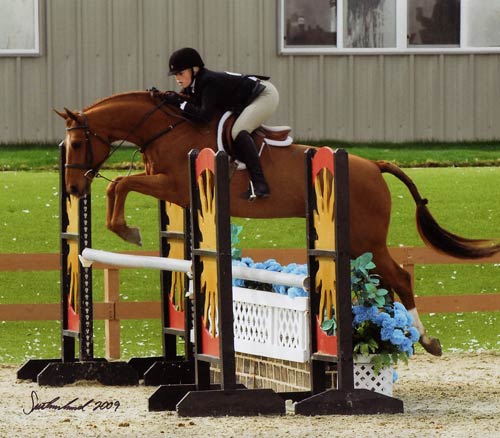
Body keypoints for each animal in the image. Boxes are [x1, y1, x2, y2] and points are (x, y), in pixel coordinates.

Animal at [54, 91, 500, 356]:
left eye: (76, 142)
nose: (74, 188)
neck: (165, 129)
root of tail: (374, 165)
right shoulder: (172, 190)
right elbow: (121, 186)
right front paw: (123, 228)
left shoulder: (174, 184)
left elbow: (121, 184)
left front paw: (126, 230)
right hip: (362, 245)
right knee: (386, 283)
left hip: (366, 239)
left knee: (401, 279)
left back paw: (426, 340)